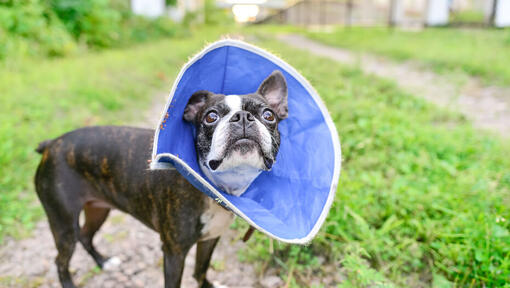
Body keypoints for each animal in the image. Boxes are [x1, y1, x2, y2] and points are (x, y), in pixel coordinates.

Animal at [34, 70, 286, 288]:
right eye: (210, 116)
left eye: (269, 115)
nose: (242, 116)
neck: (215, 189)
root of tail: (52, 144)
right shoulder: (174, 252)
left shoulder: (209, 239)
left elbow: (201, 269)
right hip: (63, 223)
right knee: (61, 259)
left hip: (98, 208)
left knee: (86, 236)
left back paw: (104, 262)